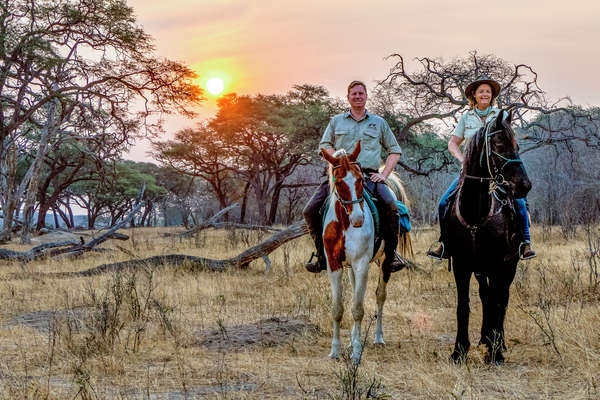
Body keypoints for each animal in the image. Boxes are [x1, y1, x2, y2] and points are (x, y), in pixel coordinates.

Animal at [318, 141, 408, 362]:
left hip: (384, 262)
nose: (358, 219)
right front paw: (335, 350)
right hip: (350, 267)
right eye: (339, 182)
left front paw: (357, 352)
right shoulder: (334, 265)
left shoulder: (361, 265)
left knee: (380, 295)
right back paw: (351, 341)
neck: (344, 223)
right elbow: (338, 308)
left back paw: (378, 338)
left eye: (360, 179)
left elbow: (358, 309)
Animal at [442, 109, 532, 366]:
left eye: (517, 145)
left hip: (508, 266)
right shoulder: (462, 264)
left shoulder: (498, 264)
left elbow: (496, 303)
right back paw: (485, 338)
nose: (524, 186)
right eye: (499, 144)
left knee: (501, 299)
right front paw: (459, 350)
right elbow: (464, 307)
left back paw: (497, 341)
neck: (476, 211)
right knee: (486, 296)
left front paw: (495, 352)